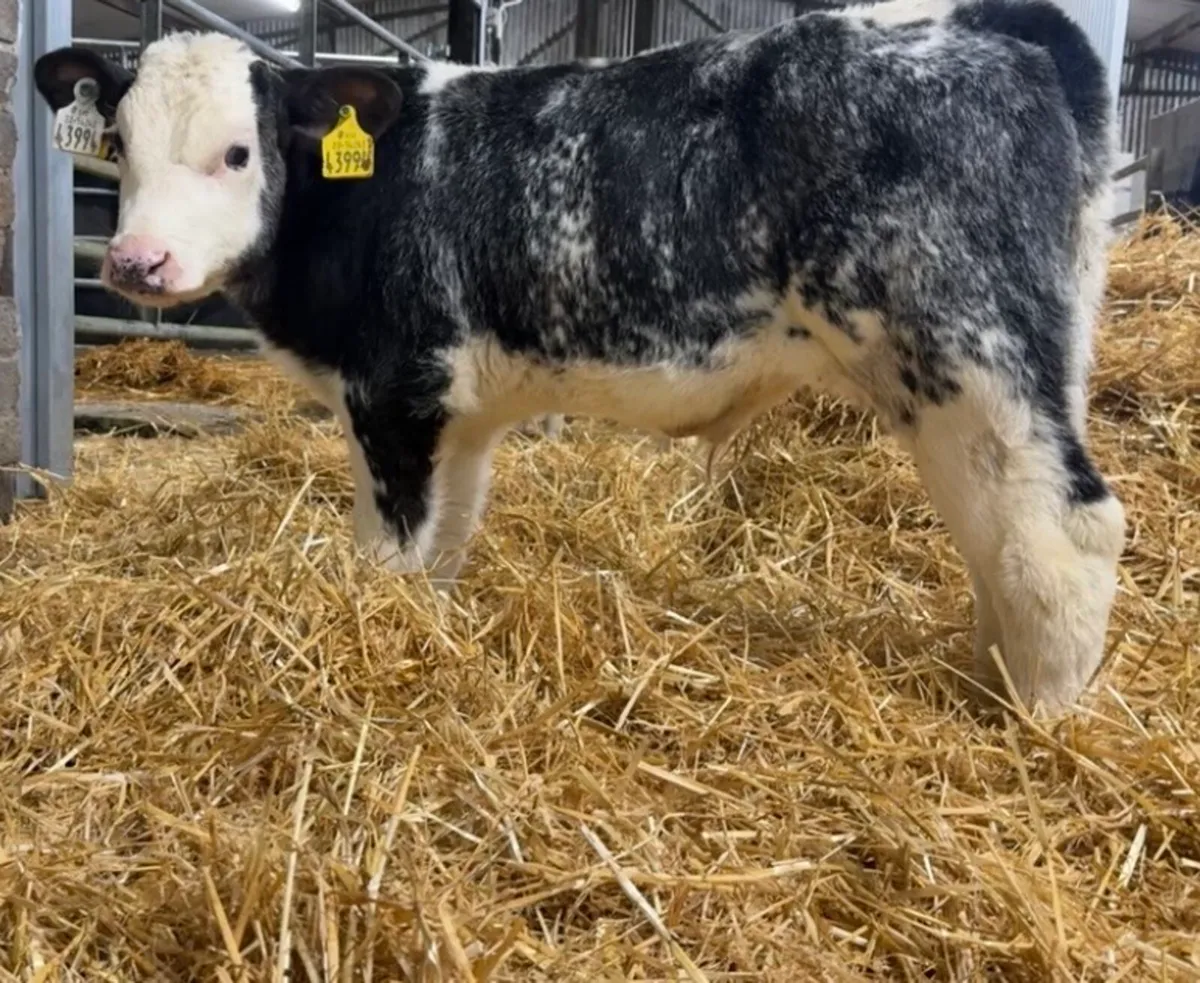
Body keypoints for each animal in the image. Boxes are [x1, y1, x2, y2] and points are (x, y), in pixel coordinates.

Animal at [34, 0, 1126, 714]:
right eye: (117, 143)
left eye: (238, 152)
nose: (135, 262)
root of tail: (994, 21)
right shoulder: (459, 410)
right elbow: (447, 543)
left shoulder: (392, 390)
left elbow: (390, 551)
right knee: (1004, 537)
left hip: (967, 350)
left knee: (1066, 531)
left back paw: (1031, 720)